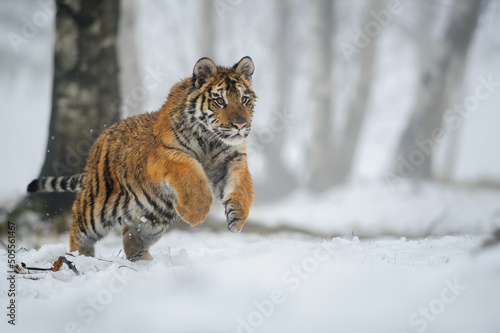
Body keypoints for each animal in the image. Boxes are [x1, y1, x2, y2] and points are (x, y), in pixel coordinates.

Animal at [27, 56, 256, 260]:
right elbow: (191, 174)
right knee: (77, 230)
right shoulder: (168, 155)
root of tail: (98, 143)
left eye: (244, 100)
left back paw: (144, 264)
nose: (240, 125)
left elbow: (242, 186)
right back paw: (80, 259)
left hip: (152, 217)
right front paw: (194, 213)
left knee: (131, 238)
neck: (211, 140)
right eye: (220, 101)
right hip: (96, 209)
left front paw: (237, 218)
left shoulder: (232, 159)